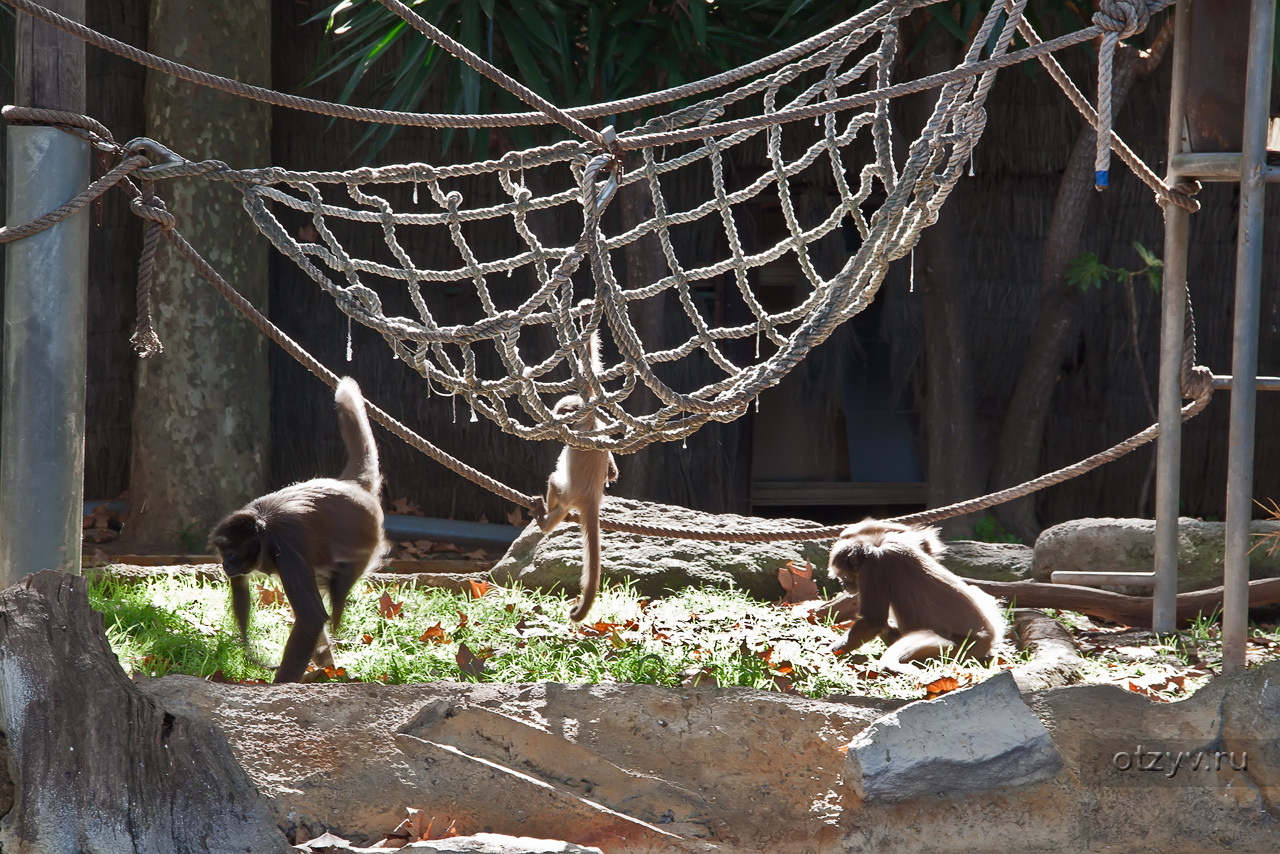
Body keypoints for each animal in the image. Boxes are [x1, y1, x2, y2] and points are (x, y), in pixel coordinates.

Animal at [209, 376, 384, 686]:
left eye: (231, 553)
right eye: (223, 553)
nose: (225, 565)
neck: (263, 528)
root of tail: (352, 484)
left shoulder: (286, 549)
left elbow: (312, 618)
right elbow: (241, 587)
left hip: (364, 540)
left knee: (336, 588)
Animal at [535, 320, 619, 622]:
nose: (558, 419)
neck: (588, 421)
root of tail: (592, 497)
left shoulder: (585, 423)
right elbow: (590, 370)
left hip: (566, 490)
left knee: (553, 483)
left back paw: (542, 520)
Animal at [824, 517, 1003, 670]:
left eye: (845, 577)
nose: (844, 586)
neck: (875, 547)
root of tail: (991, 635)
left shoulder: (875, 566)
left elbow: (872, 621)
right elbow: (925, 541)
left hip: (966, 646)